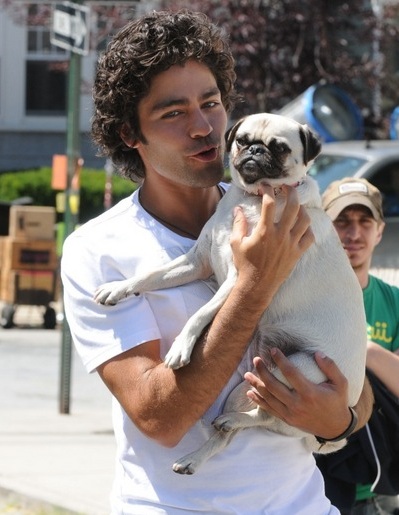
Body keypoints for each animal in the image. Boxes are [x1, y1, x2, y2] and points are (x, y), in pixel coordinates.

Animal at [94, 113, 368, 476]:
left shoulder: (241, 277)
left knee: (267, 414)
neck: (251, 198)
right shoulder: (197, 262)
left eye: (280, 148)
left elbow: (199, 314)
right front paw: (118, 287)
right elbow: (150, 276)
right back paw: (197, 454)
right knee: (239, 430)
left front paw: (181, 348)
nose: (254, 151)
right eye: (242, 140)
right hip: (249, 384)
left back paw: (234, 421)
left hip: (296, 371)